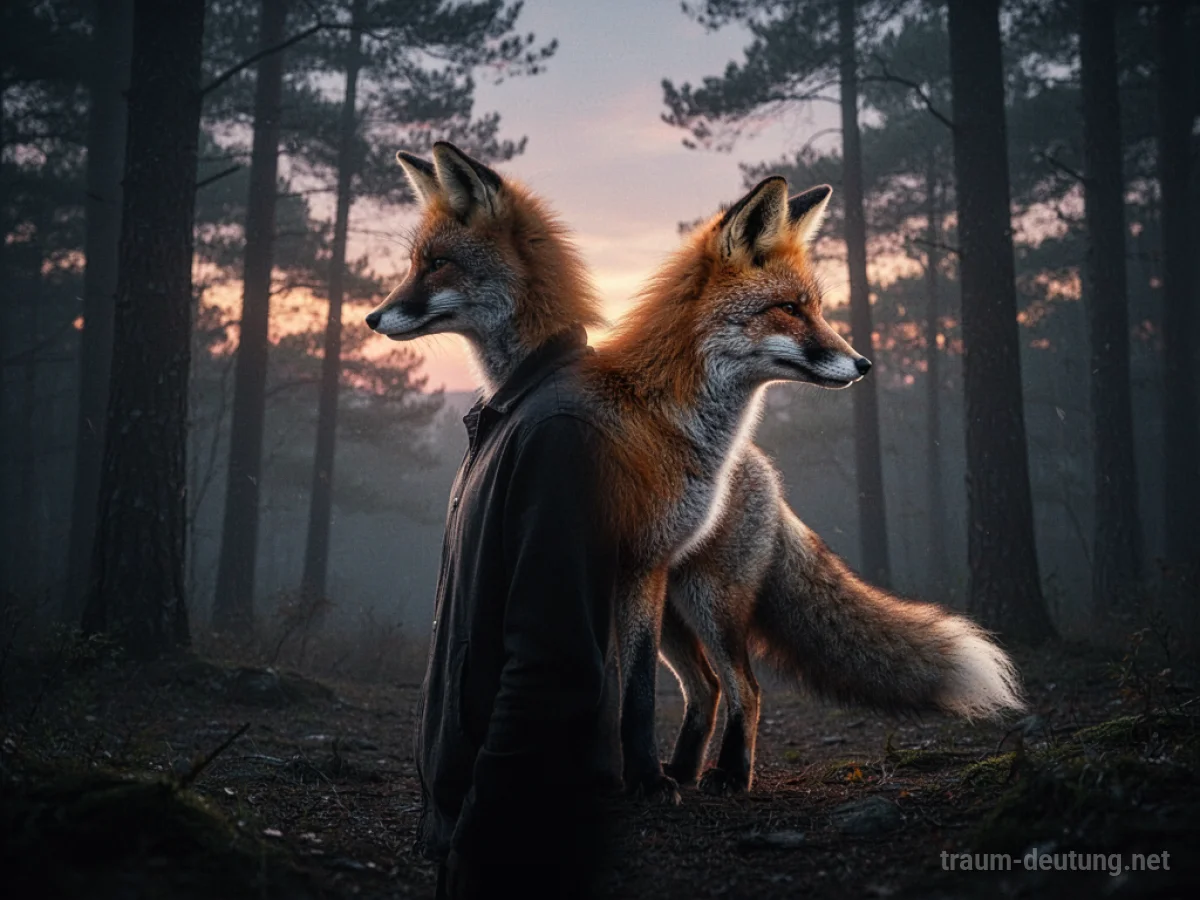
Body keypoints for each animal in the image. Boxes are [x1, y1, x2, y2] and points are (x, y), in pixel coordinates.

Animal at [368, 142, 1025, 803]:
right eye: (790, 309)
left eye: (438, 265)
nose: (863, 363)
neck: (681, 424)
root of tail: (767, 477)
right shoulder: (635, 569)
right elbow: (629, 690)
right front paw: (645, 778)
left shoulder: (638, 565)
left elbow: (633, 693)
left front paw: (644, 781)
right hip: (678, 609)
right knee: (709, 687)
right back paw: (686, 770)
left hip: (705, 600)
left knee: (745, 688)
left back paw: (728, 775)